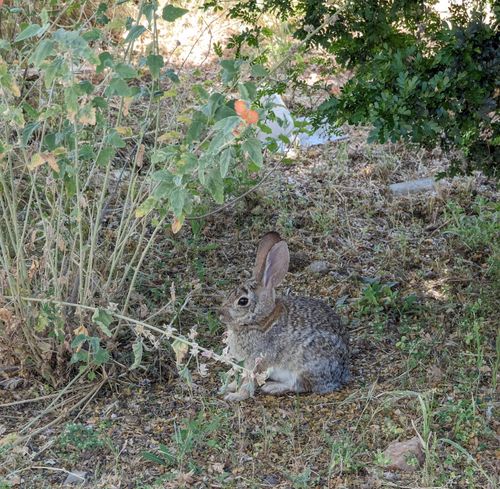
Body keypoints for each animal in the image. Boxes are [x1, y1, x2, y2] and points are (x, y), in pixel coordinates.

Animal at [221, 231, 350, 398]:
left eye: (242, 301)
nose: (221, 314)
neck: (261, 320)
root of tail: (341, 373)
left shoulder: (256, 361)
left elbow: (248, 381)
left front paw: (236, 396)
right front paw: (227, 387)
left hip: (305, 365)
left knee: (301, 386)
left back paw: (273, 387)